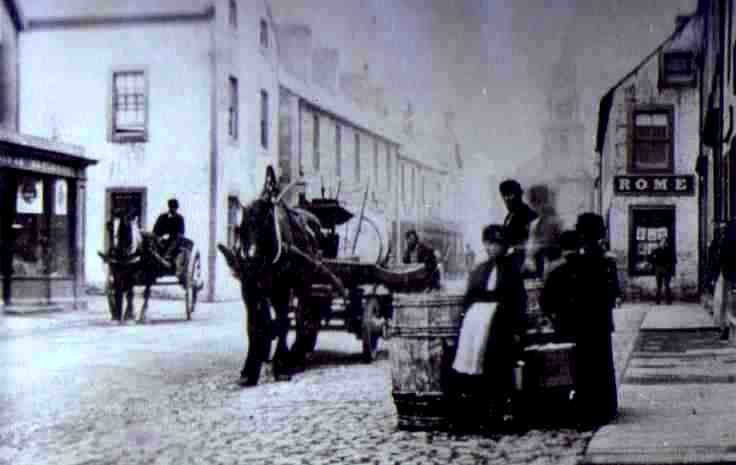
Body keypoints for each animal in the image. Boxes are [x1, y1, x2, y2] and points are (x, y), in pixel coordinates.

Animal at [218, 165, 348, 386]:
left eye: (265, 223)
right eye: (242, 227)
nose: (250, 259)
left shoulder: (282, 290)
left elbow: (282, 323)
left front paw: (281, 365)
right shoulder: (250, 290)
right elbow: (255, 325)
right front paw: (250, 368)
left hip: (304, 283)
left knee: (303, 315)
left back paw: (297, 354)